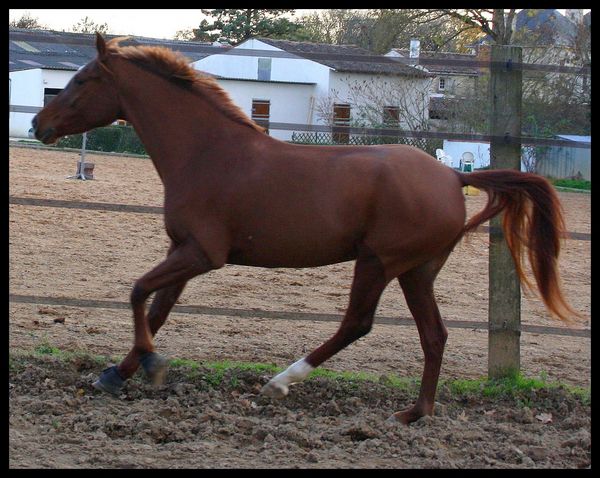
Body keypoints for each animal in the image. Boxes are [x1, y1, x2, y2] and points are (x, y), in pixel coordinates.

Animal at [32, 33, 578, 425]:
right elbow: (157, 307)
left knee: (358, 323)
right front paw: (116, 374)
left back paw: (279, 382)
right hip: (417, 271)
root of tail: (454, 175)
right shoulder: (183, 250)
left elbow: (136, 292)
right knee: (434, 335)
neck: (207, 153)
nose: (39, 124)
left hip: (379, 261)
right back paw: (414, 413)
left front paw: (150, 366)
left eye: (82, 80)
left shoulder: (203, 253)